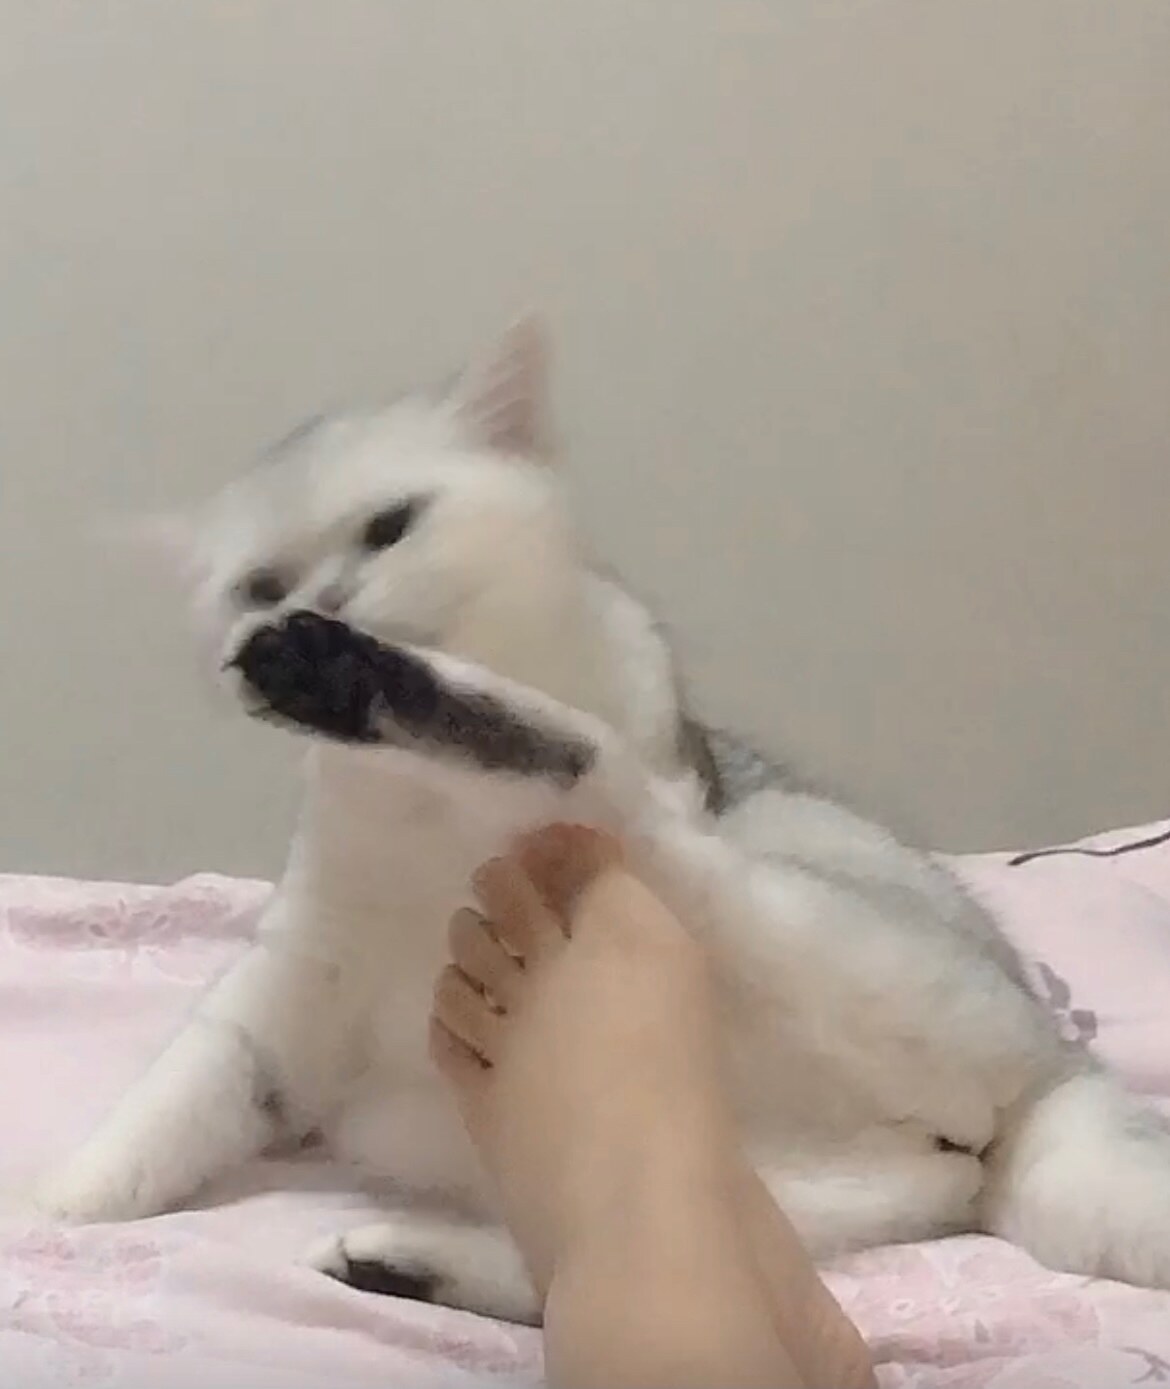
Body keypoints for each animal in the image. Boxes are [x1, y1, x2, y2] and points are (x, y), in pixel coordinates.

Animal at [34, 318, 1170, 1321]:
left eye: (390, 527)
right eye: (258, 582)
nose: (314, 609)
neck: (420, 803)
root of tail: (1050, 1081)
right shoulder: (302, 973)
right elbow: (189, 1086)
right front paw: (69, 1204)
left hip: (750, 895)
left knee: (597, 779)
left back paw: (352, 684)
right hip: (753, 1174)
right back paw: (398, 1262)